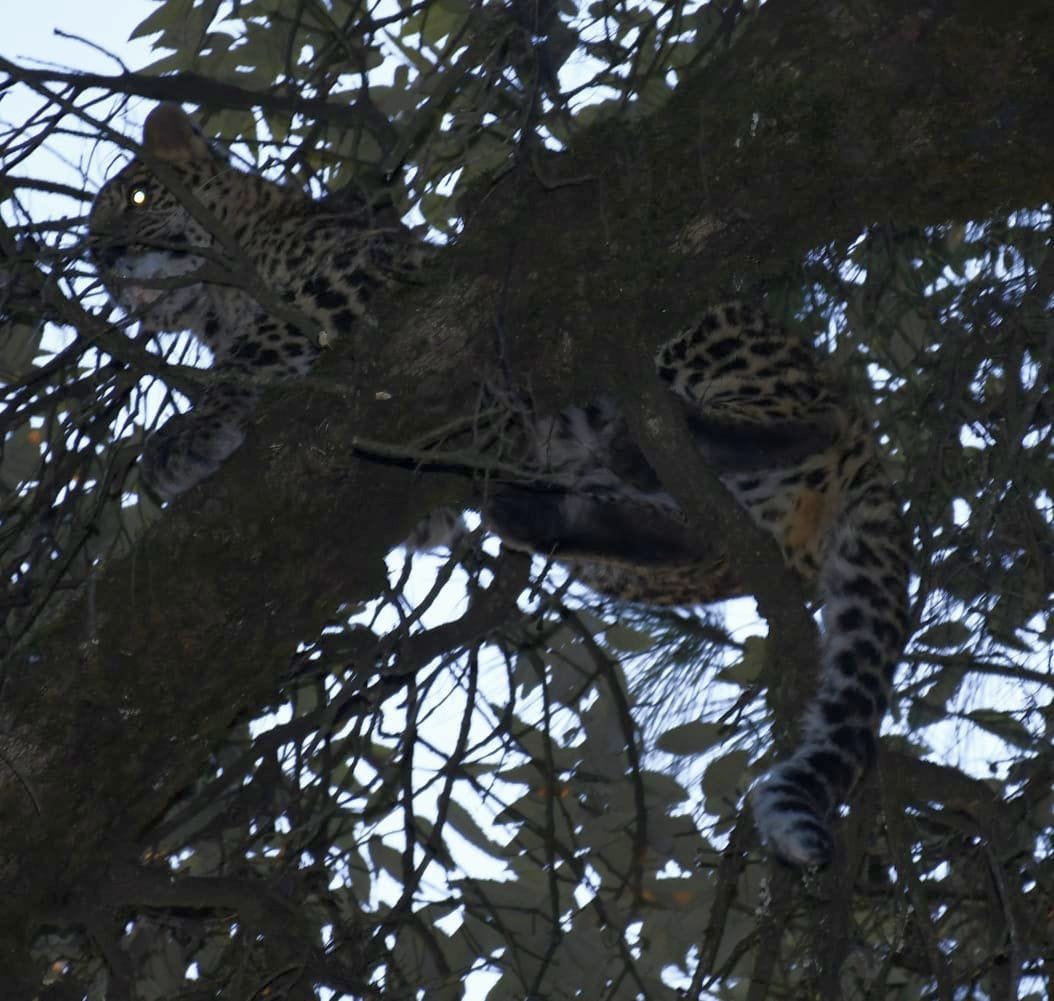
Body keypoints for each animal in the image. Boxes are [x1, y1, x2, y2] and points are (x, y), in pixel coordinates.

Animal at [90, 104, 911, 867]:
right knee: (681, 535)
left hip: (687, 330)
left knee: (801, 419)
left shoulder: (361, 280)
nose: (104, 257)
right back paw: (535, 502)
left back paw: (646, 438)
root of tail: (865, 434)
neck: (217, 299)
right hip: (656, 548)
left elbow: (260, 350)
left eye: (138, 197)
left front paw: (186, 438)